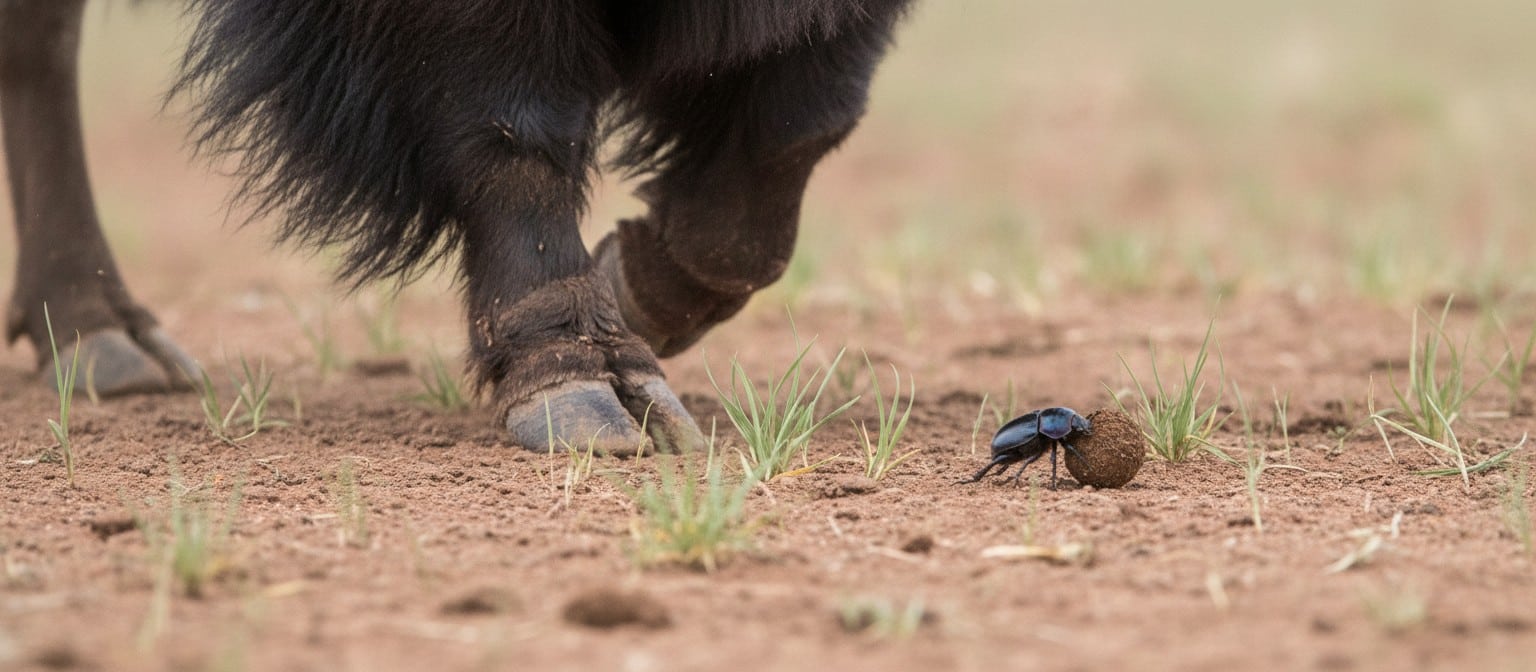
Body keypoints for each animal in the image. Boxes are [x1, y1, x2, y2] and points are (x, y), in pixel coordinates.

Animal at [0, 0, 913, 453]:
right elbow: (516, 123)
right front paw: (586, 389)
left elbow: (795, 131)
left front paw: (629, 289)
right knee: (43, 38)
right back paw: (104, 340)